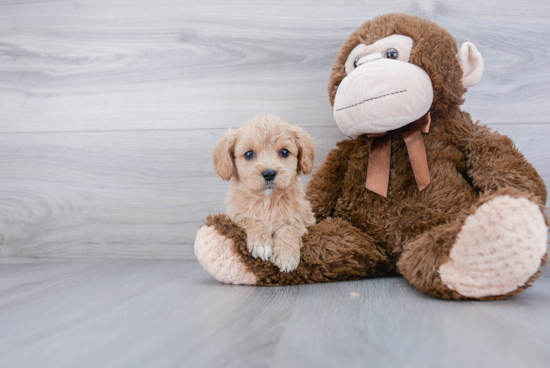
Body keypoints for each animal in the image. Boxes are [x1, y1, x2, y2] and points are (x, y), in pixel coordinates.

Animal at [213, 115, 316, 274]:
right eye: (249, 154)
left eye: (284, 152)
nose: (269, 173)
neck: (267, 202)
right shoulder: (235, 215)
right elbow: (251, 220)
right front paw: (261, 243)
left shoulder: (303, 217)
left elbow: (290, 226)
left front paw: (287, 254)